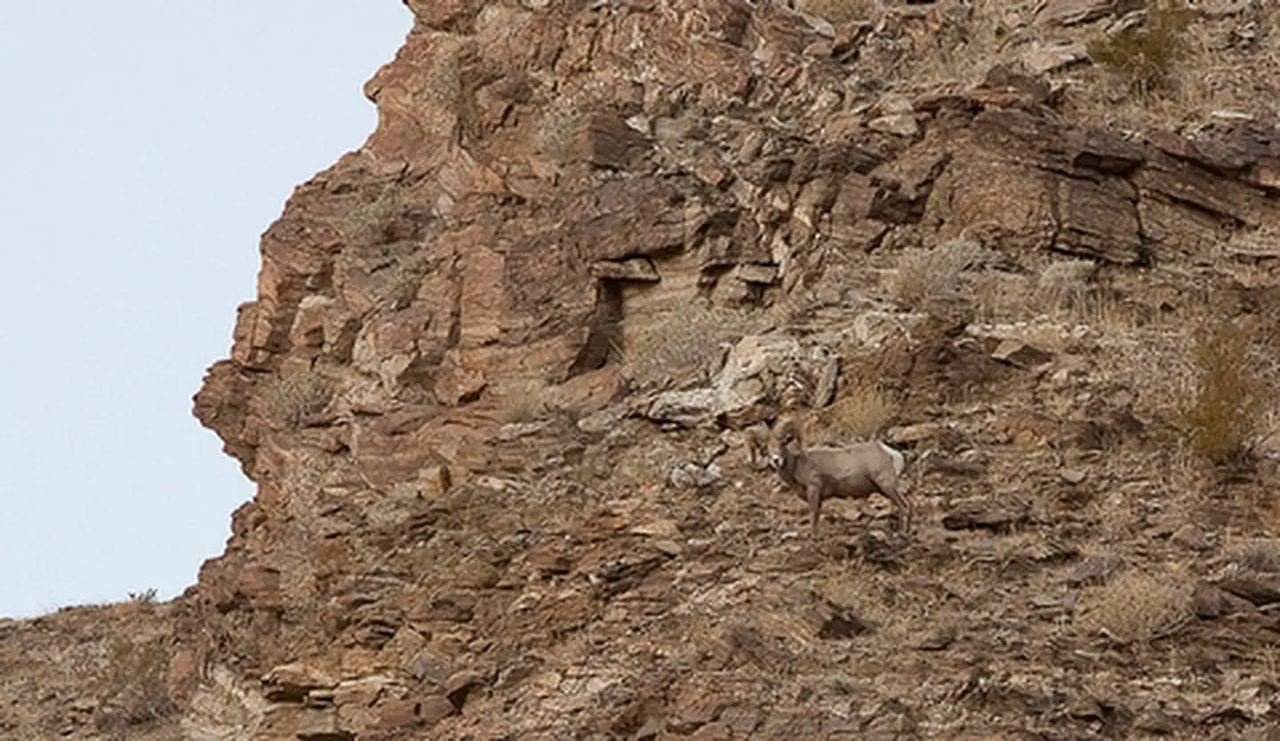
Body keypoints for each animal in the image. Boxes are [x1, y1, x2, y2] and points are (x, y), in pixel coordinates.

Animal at [746, 417, 913, 535]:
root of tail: (889, 452)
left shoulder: (814, 489)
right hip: (885, 489)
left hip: (887, 485)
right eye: (766, 448)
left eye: (782, 444)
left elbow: (813, 515)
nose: (776, 460)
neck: (797, 465)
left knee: (904, 507)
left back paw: (903, 533)